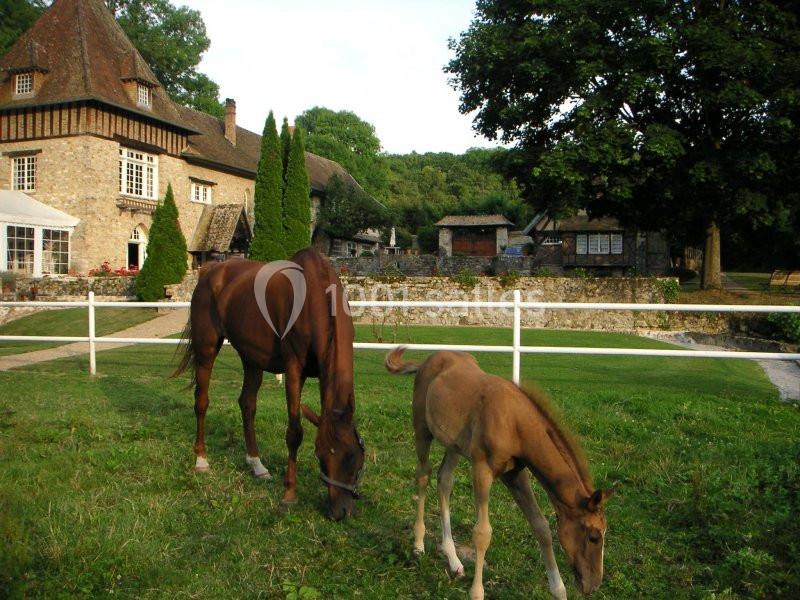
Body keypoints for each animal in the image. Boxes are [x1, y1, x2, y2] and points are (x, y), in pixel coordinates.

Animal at [173, 249, 365, 521]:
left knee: (247, 404)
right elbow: (294, 432)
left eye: (354, 457)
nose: (340, 512)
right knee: (202, 401)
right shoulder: (294, 369)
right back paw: (201, 459)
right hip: (206, 348)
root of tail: (210, 270)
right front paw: (289, 494)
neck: (314, 294)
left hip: (251, 357)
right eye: (320, 455)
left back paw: (257, 464)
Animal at [385, 347, 613, 599]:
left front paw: (559, 590)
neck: (514, 422)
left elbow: (541, 527)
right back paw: (418, 545)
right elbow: (482, 533)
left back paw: (454, 561)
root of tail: (428, 359)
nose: (593, 584)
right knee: (423, 474)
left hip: (454, 445)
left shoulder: (515, 474)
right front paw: (477, 593)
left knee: (444, 480)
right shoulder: (482, 470)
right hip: (422, 429)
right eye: (594, 537)